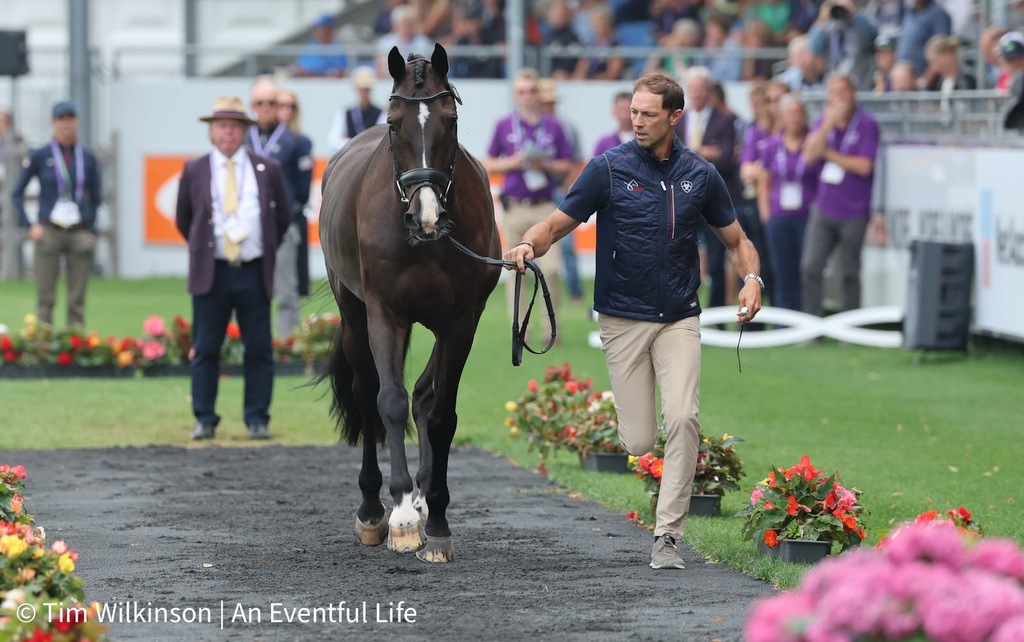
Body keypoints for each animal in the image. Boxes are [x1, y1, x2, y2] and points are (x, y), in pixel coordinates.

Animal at [318, 44, 501, 563]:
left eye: (451, 120)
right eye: (395, 123)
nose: (427, 216)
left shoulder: (461, 321)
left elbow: (440, 414)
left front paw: (434, 519)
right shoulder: (385, 313)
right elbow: (391, 401)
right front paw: (398, 517)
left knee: (423, 393)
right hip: (355, 315)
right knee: (367, 394)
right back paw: (373, 510)